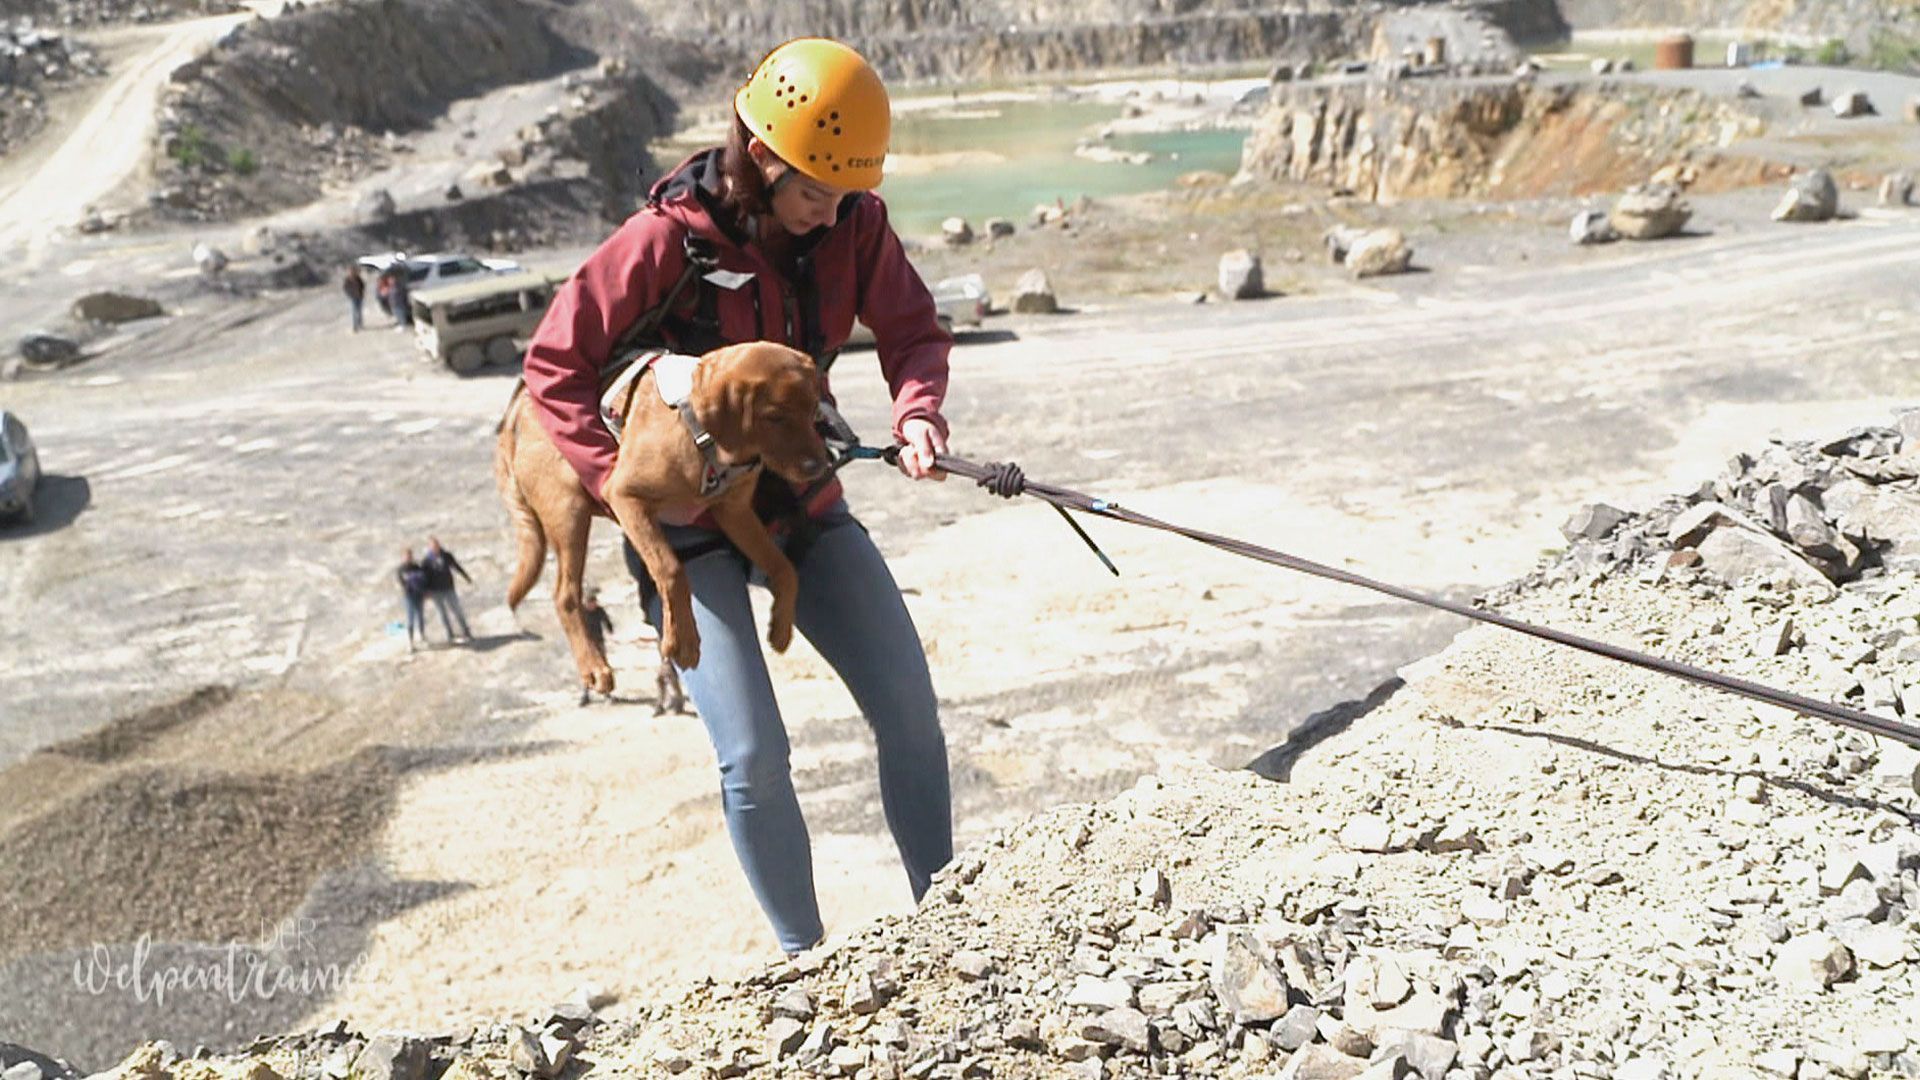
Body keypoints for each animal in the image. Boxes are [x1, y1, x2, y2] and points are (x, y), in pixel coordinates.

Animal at [495, 340, 825, 691]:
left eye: (813, 410)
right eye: (774, 417)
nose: (820, 465)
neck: (699, 435)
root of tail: (519, 405)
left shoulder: (734, 512)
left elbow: (785, 568)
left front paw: (781, 626)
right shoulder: (625, 497)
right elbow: (671, 569)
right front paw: (684, 641)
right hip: (569, 513)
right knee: (565, 595)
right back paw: (593, 666)